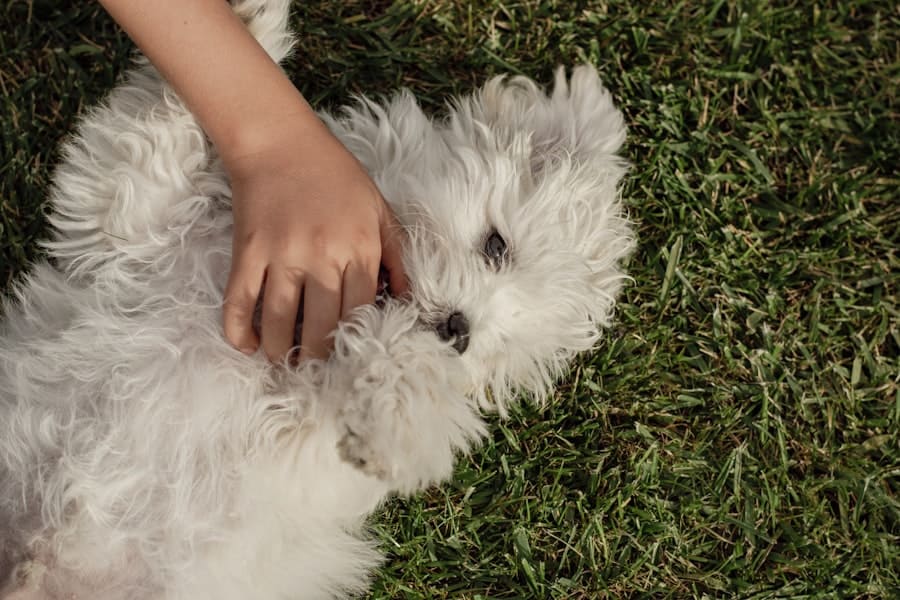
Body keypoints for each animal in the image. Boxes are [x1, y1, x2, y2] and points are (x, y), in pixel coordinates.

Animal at [0, 1, 632, 600]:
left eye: (497, 347)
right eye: (497, 245)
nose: (460, 330)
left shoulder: (305, 434)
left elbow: (394, 369)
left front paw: (391, 425)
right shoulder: (129, 220)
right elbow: (156, 142)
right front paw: (251, 32)